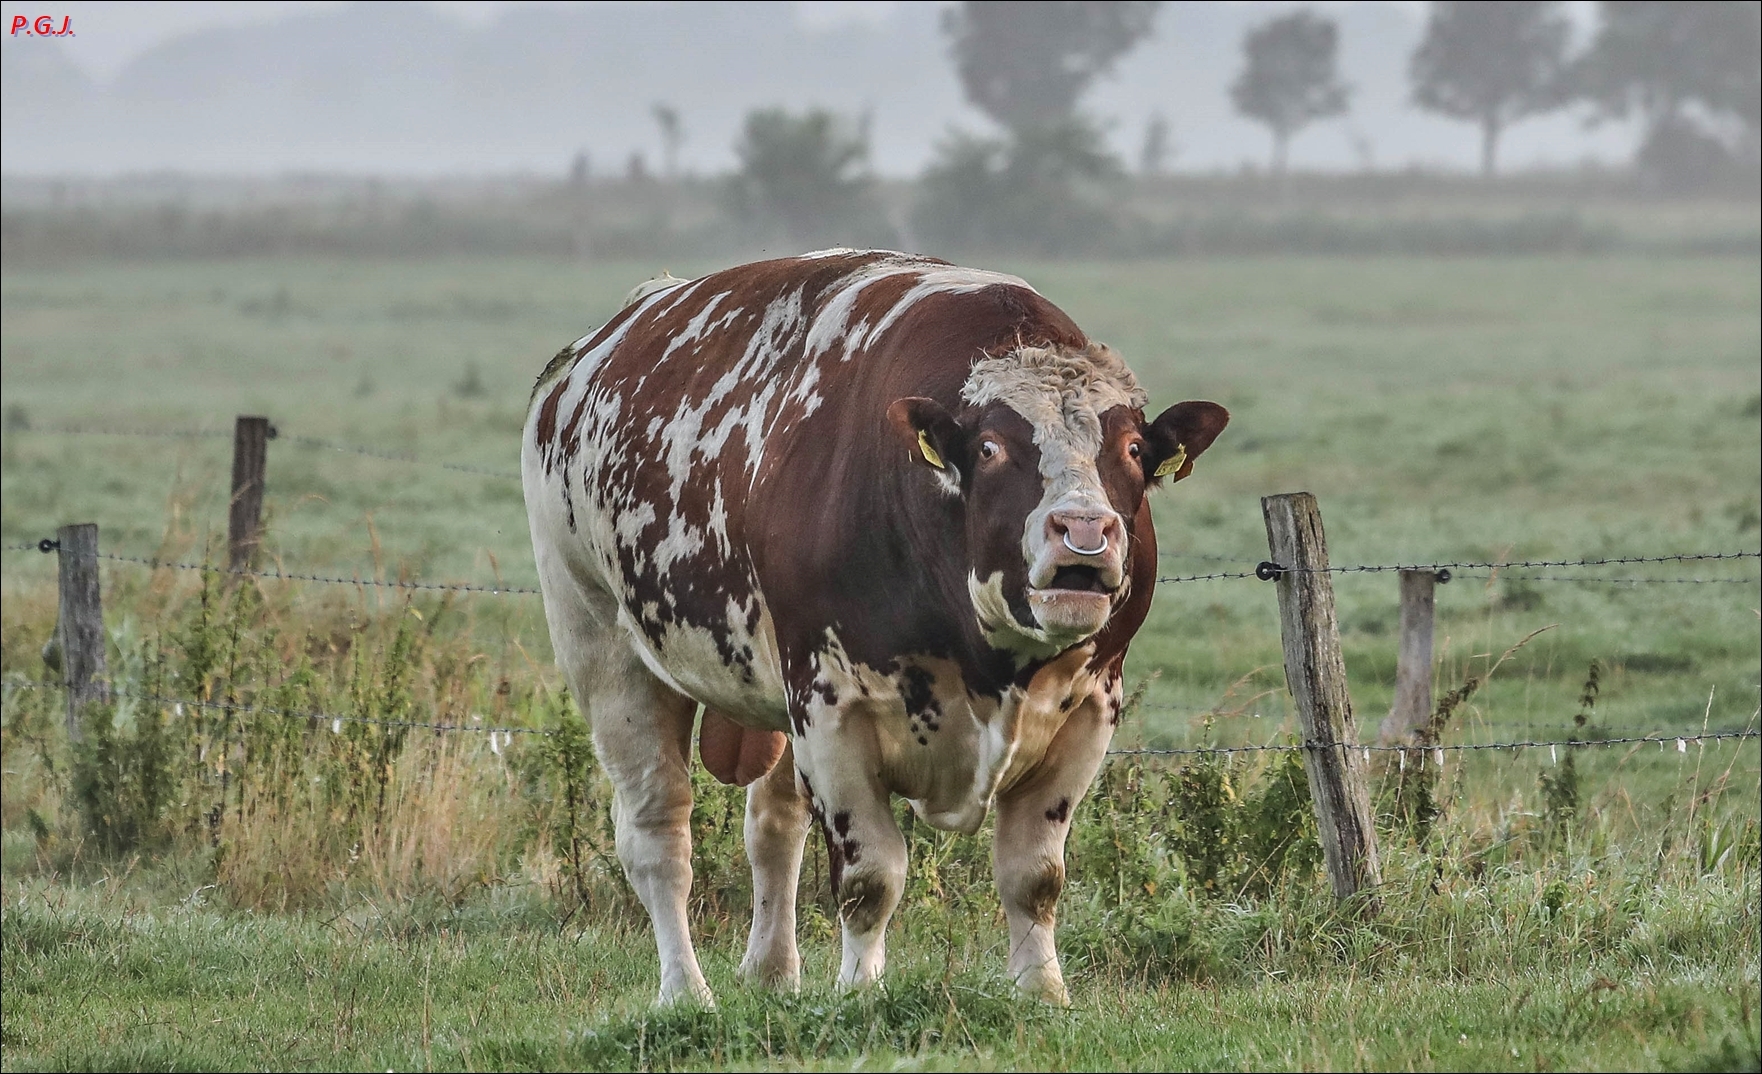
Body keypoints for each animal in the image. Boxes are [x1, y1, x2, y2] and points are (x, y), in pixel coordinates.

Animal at [518, 248, 1226, 1000]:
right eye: (991, 449)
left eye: (1131, 450)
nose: (1086, 531)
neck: (992, 668)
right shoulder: (832, 710)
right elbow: (870, 880)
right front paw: (859, 993)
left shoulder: (1089, 710)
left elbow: (1034, 877)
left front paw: (1042, 993)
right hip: (603, 647)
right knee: (658, 837)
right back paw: (686, 993)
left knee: (773, 826)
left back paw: (772, 972)